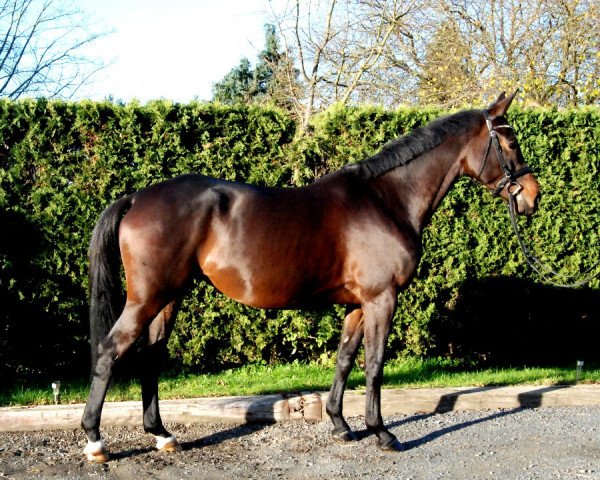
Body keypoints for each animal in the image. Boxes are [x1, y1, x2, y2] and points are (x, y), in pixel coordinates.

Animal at [82, 91, 540, 462]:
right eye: (510, 142)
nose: (533, 196)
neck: (387, 199)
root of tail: (137, 197)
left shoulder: (359, 304)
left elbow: (345, 358)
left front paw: (341, 424)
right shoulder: (382, 298)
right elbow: (374, 365)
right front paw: (382, 433)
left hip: (168, 297)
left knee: (151, 357)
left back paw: (162, 435)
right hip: (147, 297)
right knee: (109, 351)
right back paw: (95, 442)